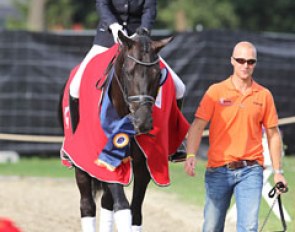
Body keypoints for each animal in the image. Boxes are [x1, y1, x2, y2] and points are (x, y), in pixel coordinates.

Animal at [61, 29, 188, 231]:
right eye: (128, 73)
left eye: (157, 75)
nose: (143, 122)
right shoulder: (108, 161)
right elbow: (122, 207)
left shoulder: (145, 165)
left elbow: (135, 211)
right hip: (80, 163)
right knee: (87, 204)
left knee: (106, 202)